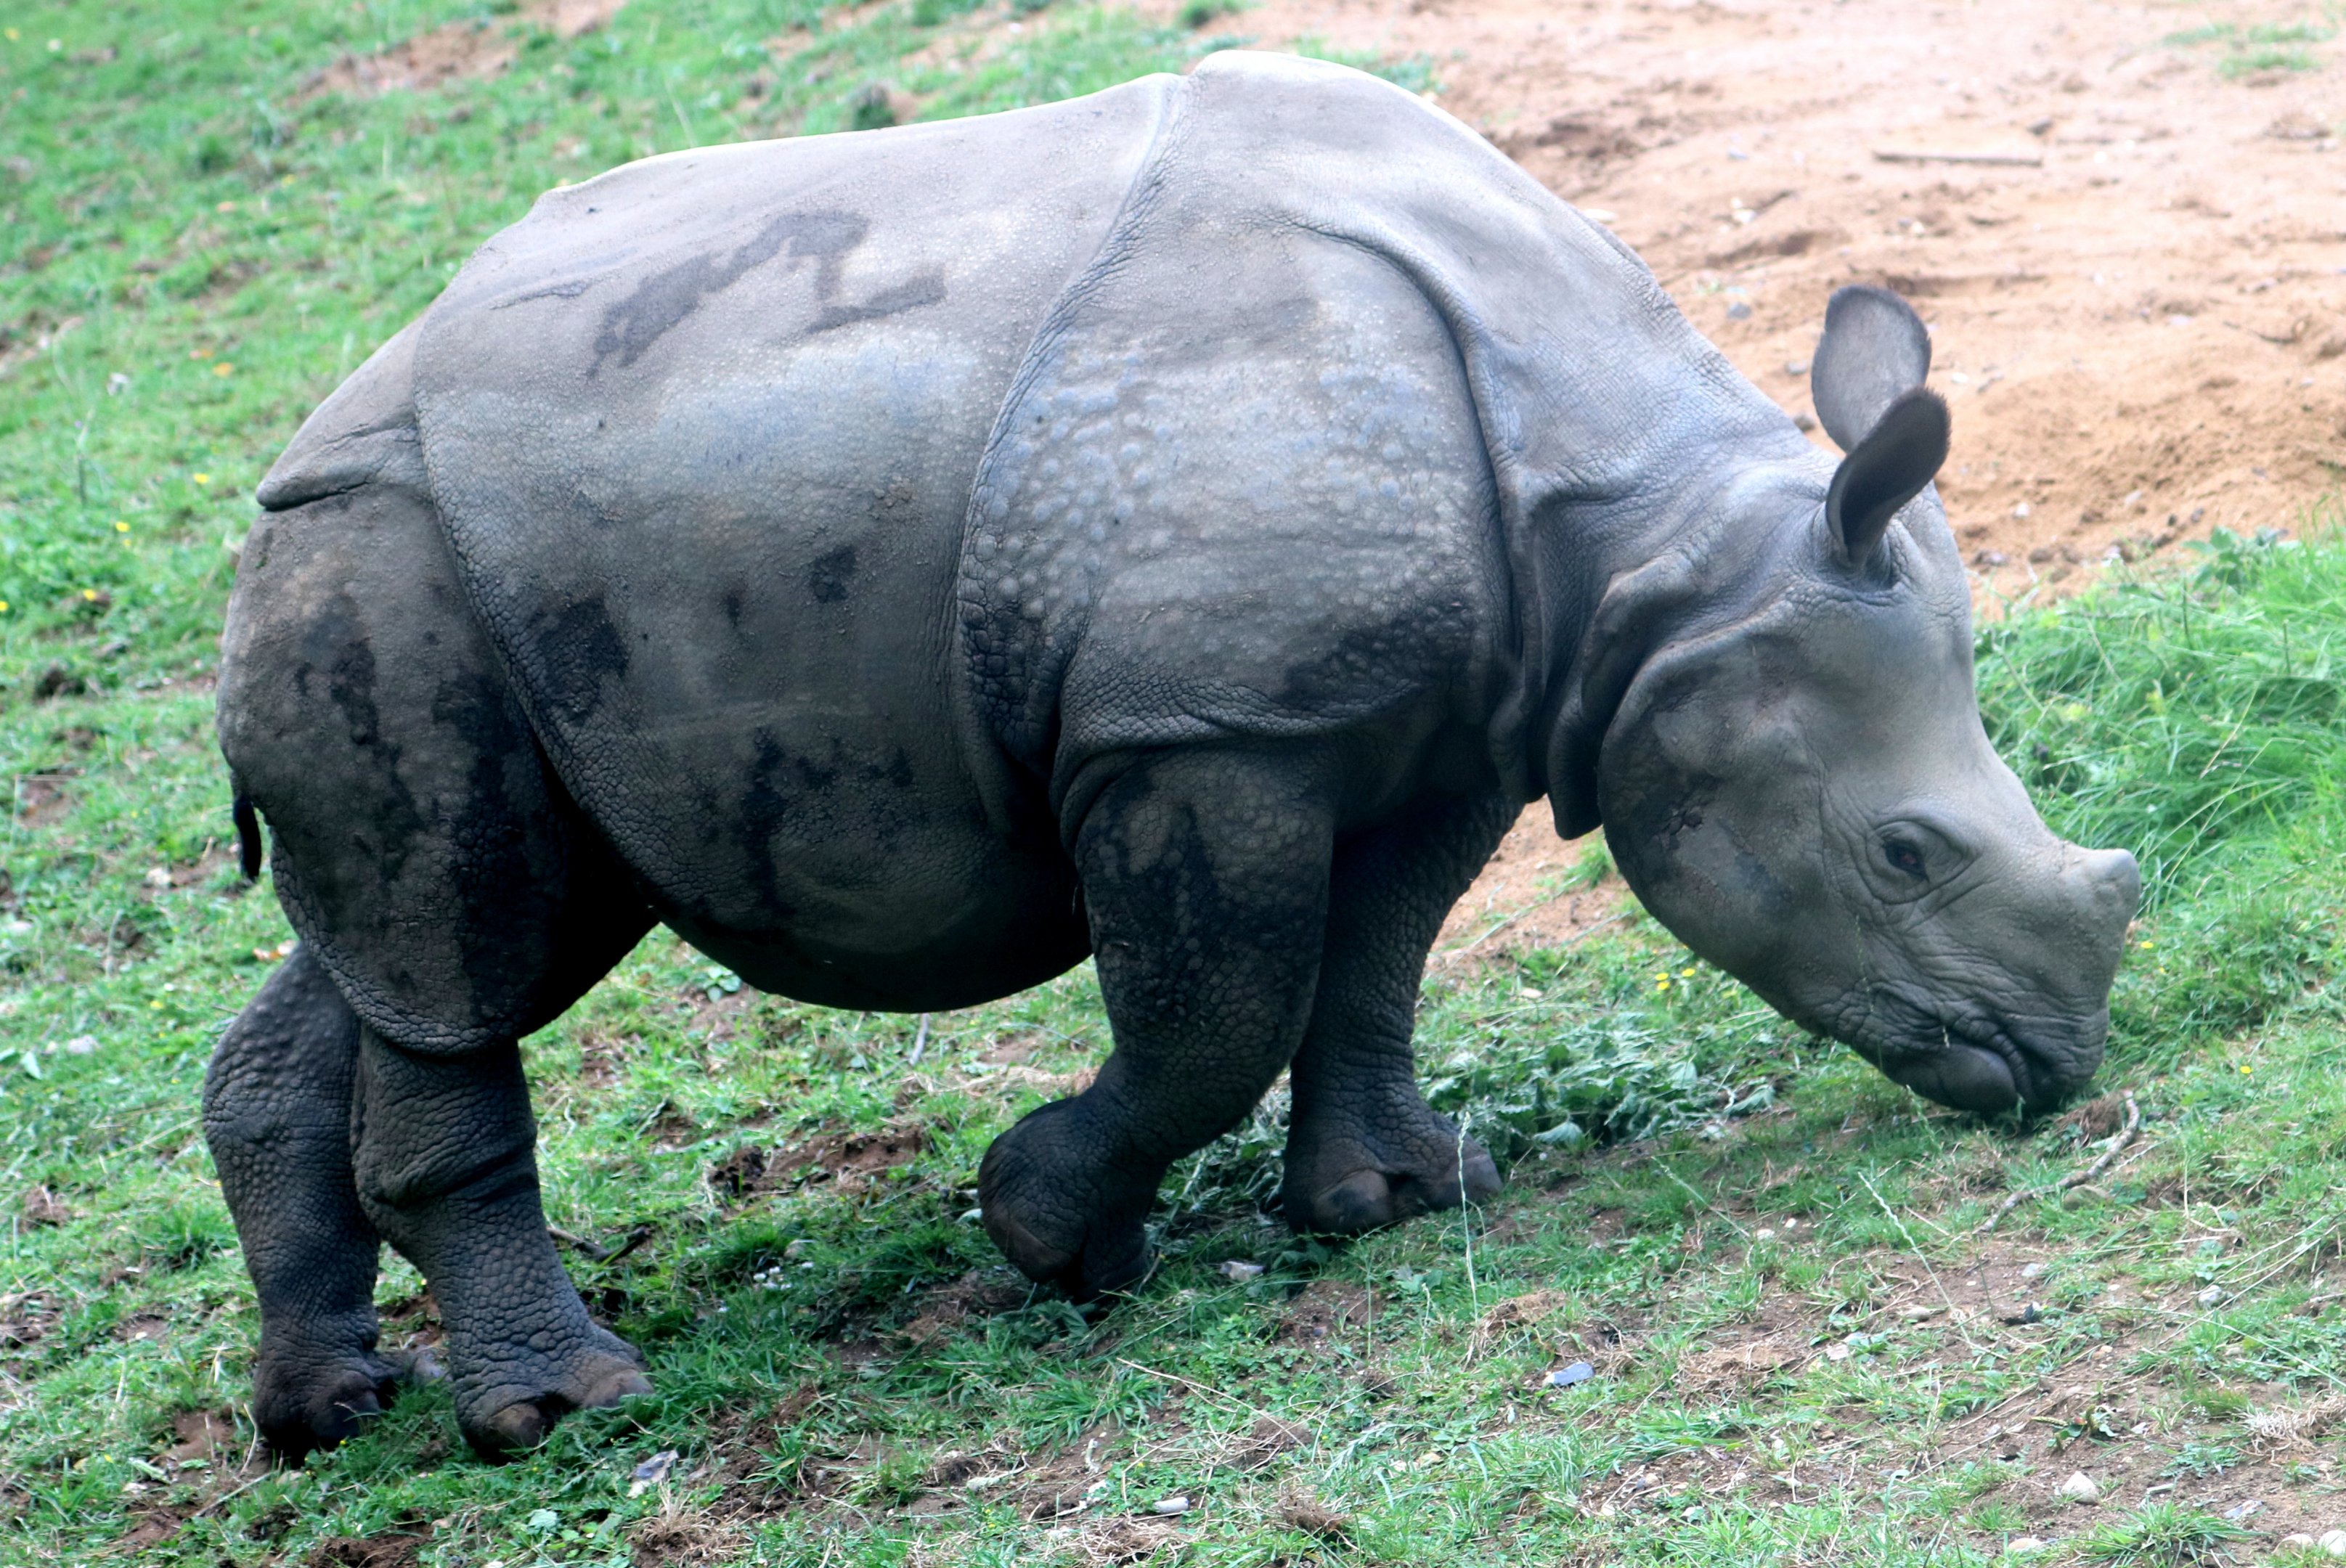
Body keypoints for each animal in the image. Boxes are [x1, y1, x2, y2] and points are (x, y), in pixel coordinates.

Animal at [206, 51, 2140, 1458]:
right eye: (1901, 853)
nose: (2052, 1066)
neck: (1651, 567)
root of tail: (295, 443)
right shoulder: (1201, 728)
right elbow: (1214, 1015)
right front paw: (1053, 1237)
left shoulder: (1451, 715)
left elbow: (1371, 963)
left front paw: (1393, 1198)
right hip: (378, 546)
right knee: (465, 945)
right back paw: (565, 1411)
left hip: (480, 565)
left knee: (422, 944)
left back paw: (333, 1409)